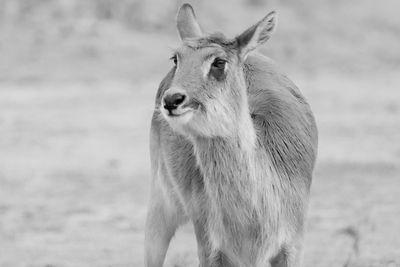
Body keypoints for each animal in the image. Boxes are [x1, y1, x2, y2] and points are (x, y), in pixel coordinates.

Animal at [145, 3, 318, 266]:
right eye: (176, 58)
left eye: (219, 62)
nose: (172, 99)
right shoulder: (210, 249)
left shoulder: (292, 248)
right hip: (159, 210)